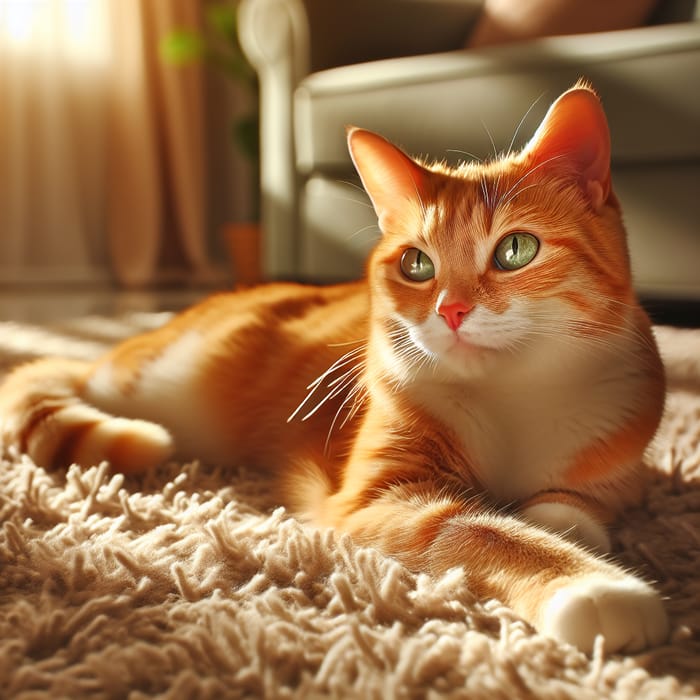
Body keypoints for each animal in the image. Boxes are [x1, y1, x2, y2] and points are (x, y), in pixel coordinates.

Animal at [0, 85, 668, 652]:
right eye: (417, 264)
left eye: (516, 249)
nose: (451, 311)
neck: (509, 392)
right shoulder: (376, 499)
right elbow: (480, 530)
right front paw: (595, 586)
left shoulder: (618, 451)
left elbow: (572, 505)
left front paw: (563, 526)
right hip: (159, 383)